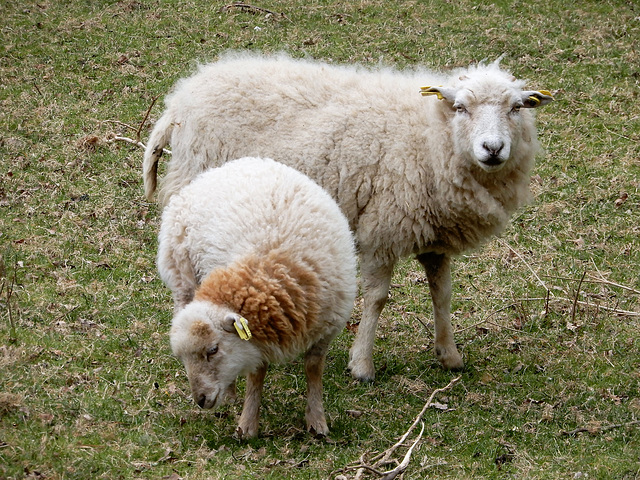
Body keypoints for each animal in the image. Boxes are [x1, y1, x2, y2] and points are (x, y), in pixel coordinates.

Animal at [142, 51, 552, 382]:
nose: (493, 148)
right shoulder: (383, 226)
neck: (430, 134)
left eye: (517, 108)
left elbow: (443, 294)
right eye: (462, 107)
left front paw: (449, 355)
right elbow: (377, 298)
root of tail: (179, 101)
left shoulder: (434, 237)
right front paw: (362, 365)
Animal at [159, 158, 358, 438]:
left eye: (213, 350)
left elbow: (313, 370)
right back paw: (231, 394)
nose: (200, 400)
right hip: (182, 277)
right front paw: (248, 424)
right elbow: (257, 375)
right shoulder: (255, 342)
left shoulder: (327, 328)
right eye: (183, 358)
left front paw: (317, 421)